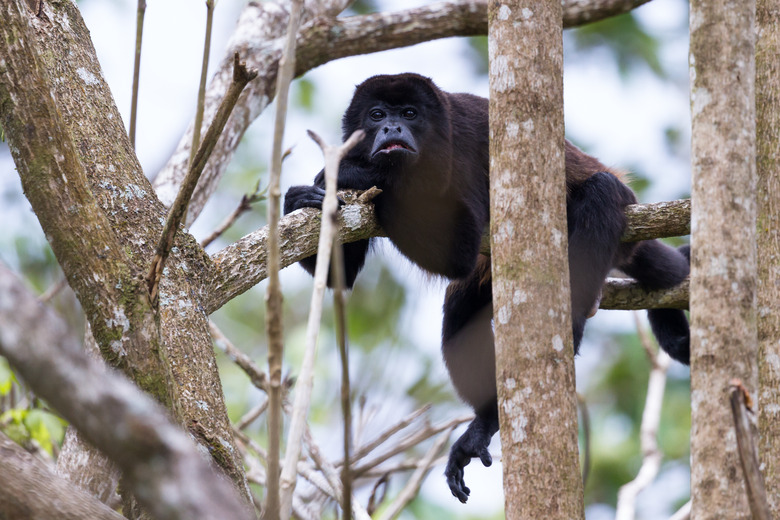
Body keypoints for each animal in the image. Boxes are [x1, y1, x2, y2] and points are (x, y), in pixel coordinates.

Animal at [284, 72, 688, 500]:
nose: (392, 128)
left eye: (409, 114)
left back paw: (571, 320)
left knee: (601, 191)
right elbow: (339, 275)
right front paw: (299, 199)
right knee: (458, 325)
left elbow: (457, 249)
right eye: (377, 115)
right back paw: (485, 421)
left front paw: (359, 173)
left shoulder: (462, 148)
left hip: (620, 210)